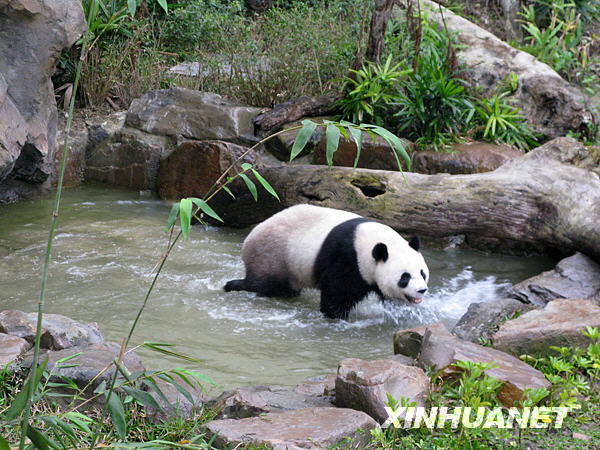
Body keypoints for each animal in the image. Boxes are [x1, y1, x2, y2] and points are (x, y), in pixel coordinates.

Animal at [223, 204, 428, 320]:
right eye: (404, 277)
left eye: (422, 273)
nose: (422, 290)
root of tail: (249, 238)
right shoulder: (347, 257)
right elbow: (338, 291)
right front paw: (335, 316)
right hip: (273, 254)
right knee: (262, 283)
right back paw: (233, 285)